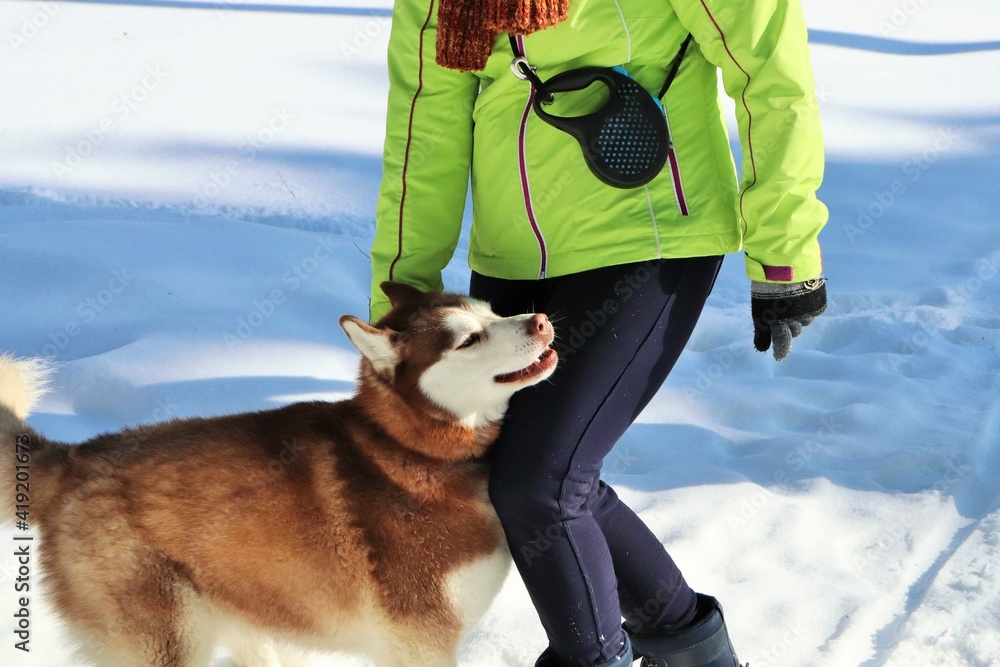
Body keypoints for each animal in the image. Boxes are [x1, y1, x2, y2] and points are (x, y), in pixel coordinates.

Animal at [0, 284, 560, 667]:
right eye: (469, 339)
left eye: (492, 311)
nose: (539, 321)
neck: (415, 450)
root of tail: (74, 457)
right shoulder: (418, 642)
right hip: (166, 640)